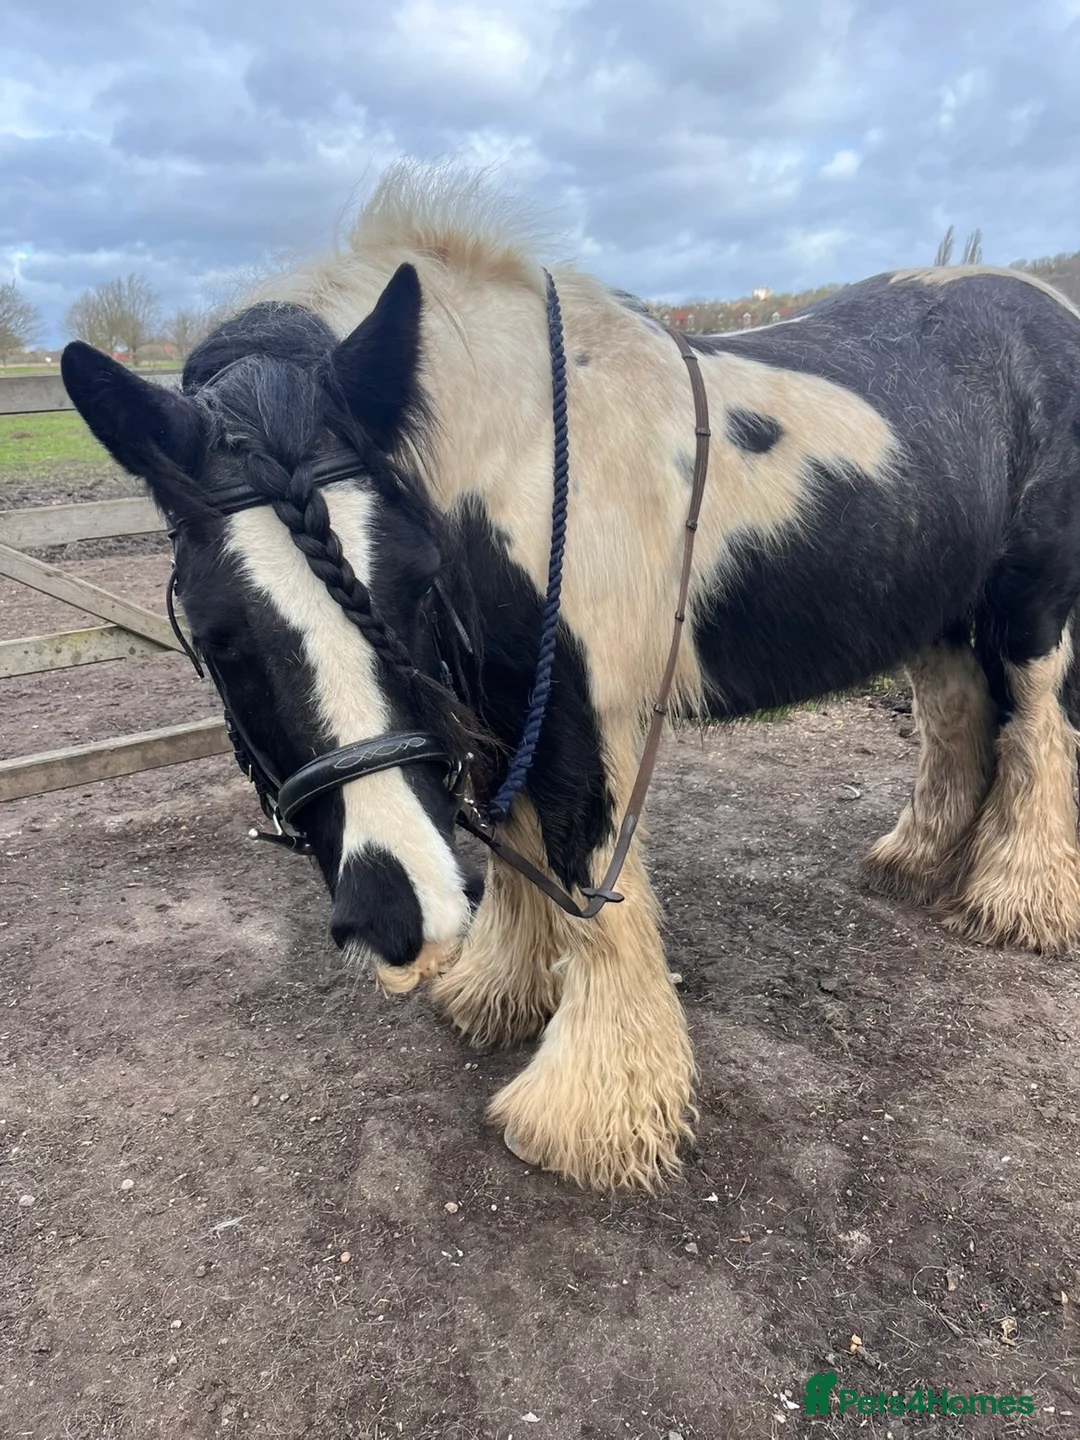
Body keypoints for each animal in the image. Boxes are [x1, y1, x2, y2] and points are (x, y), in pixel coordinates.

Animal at [61, 162, 1080, 1192]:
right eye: (219, 634)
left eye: (416, 581)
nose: (399, 913)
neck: (516, 464)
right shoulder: (502, 707)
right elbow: (518, 845)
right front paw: (497, 993)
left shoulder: (580, 715)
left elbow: (586, 875)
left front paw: (592, 1109)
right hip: (938, 612)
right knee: (957, 715)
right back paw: (919, 860)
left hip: (1032, 611)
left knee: (1036, 732)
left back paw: (1017, 898)